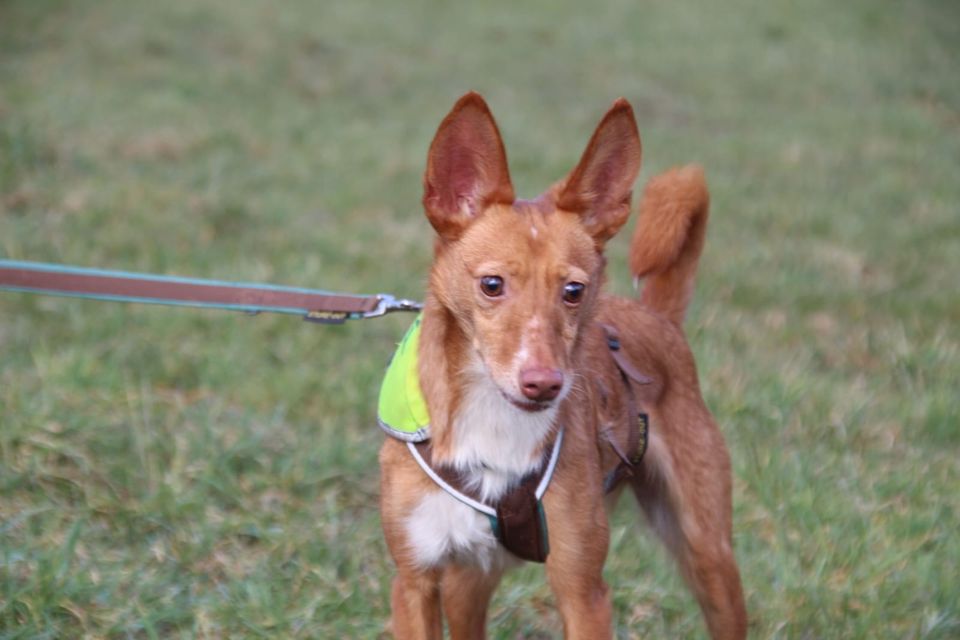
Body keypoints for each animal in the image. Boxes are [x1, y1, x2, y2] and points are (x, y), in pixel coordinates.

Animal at [378, 92, 748, 636]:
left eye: (573, 290)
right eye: (492, 285)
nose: (544, 384)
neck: (493, 421)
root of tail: (656, 314)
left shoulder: (582, 590)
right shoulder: (414, 582)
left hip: (709, 553)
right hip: (469, 582)